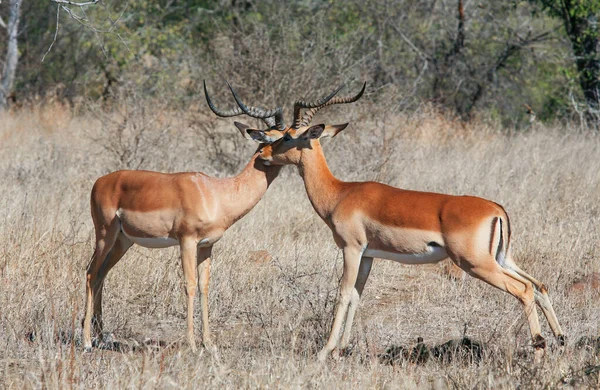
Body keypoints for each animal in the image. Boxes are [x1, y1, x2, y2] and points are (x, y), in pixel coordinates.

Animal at [82, 80, 332, 352]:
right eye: (283, 136)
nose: (268, 157)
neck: (217, 193)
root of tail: (99, 182)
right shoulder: (187, 241)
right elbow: (190, 285)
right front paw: (192, 343)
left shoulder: (207, 245)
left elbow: (204, 286)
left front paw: (208, 342)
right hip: (105, 235)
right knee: (91, 273)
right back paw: (86, 340)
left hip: (123, 240)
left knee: (101, 275)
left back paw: (101, 335)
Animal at [246, 83, 564, 362]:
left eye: (288, 136)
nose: (263, 154)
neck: (340, 193)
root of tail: (497, 209)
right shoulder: (368, 255)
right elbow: (357, 296)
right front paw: (341, 350)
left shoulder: (350, 249)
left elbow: (343, 294)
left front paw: (325, 352)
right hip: (501, 258)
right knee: (539, 285)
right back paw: (560, 341)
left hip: (475, 264)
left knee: (524, 290)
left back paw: (539, 351)